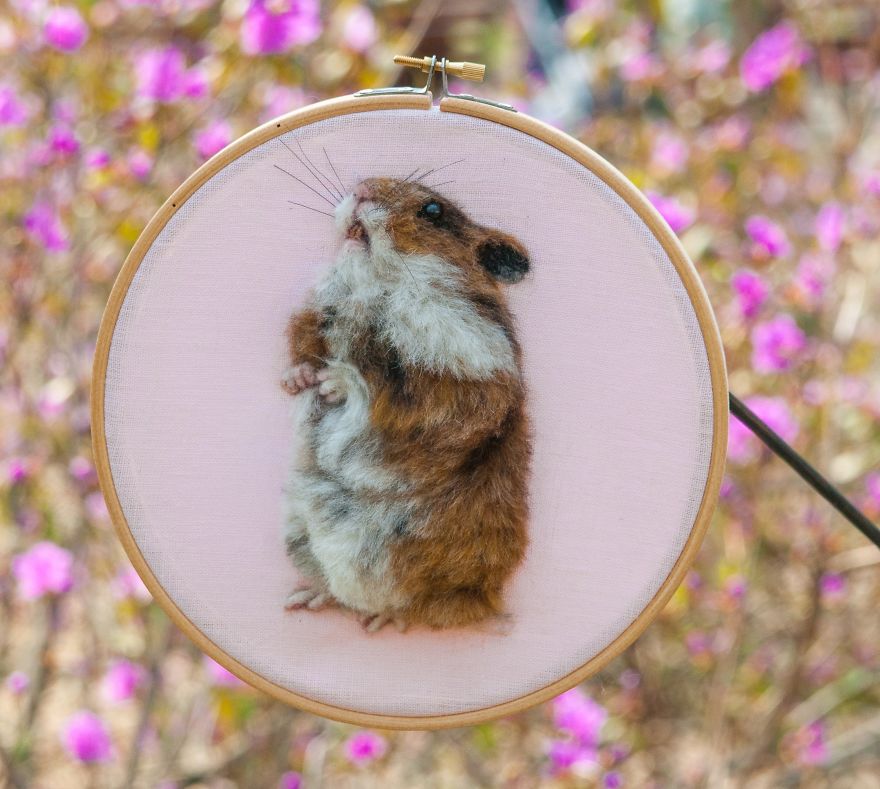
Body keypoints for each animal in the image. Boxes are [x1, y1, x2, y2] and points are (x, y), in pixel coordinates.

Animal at [281, 176, 531, 632]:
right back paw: (305, 597)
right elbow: (307, 339)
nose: (360, 188)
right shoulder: (320, 312)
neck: (379, 288)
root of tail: (490, 600)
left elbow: (386, 393)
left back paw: (381, 619)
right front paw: (299, 379)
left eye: (433, 211)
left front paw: (332, 384)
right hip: (299, 530)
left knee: (425, 608)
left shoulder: (464, 381)